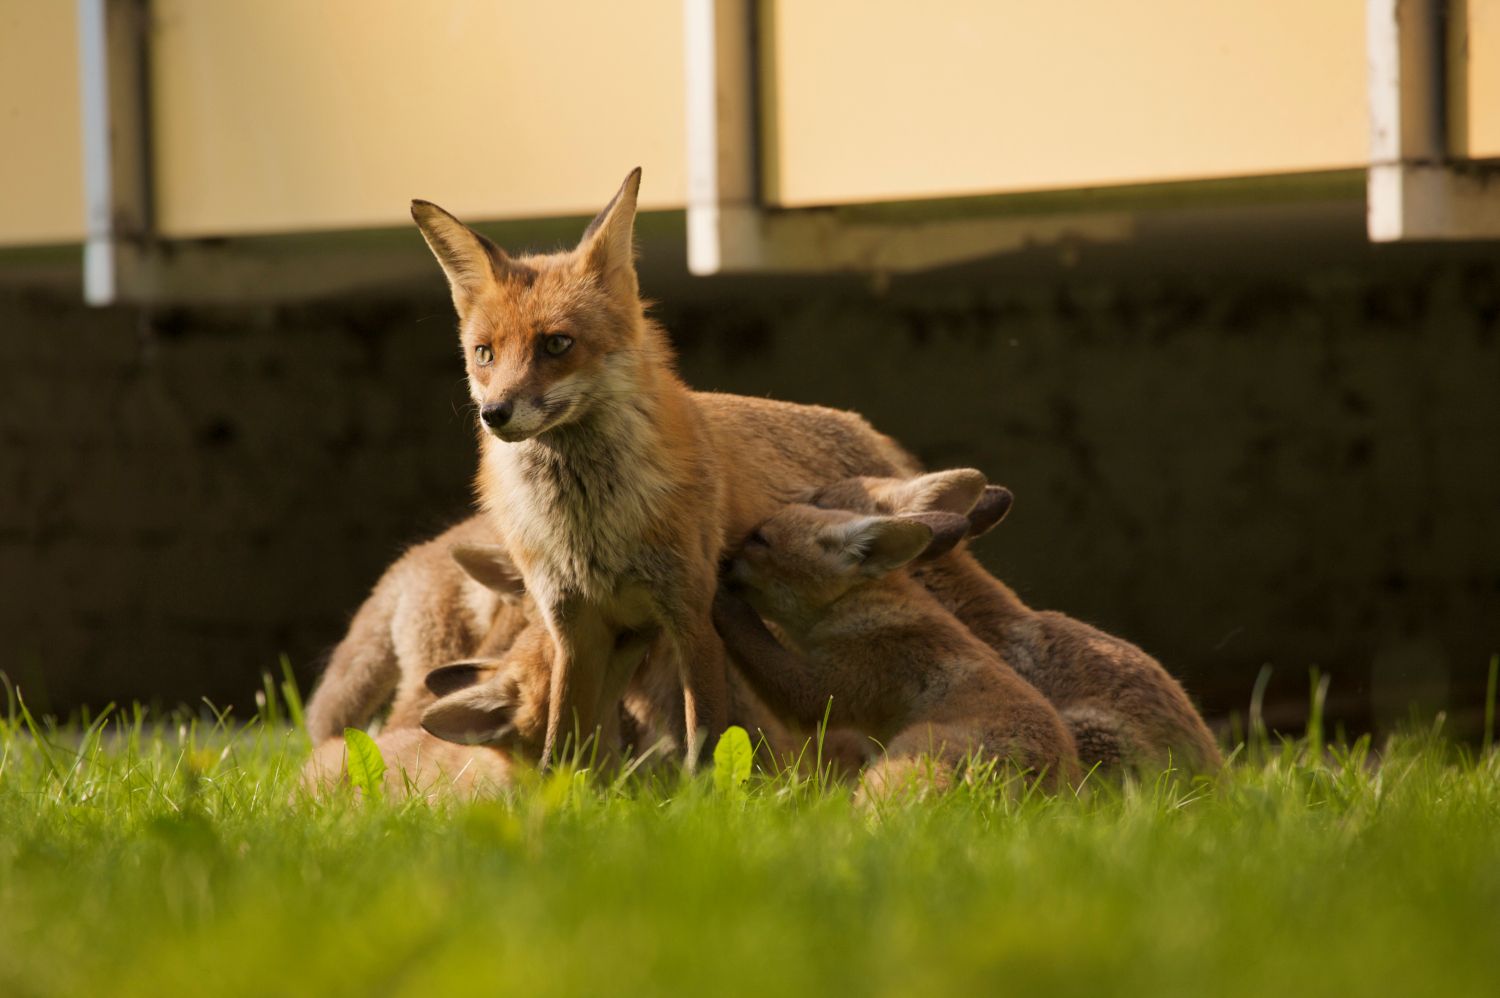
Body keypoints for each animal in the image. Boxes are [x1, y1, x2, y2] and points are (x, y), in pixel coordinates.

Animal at [405, 169, 912, 762]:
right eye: (484, 354)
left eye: (557, 344)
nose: (494, 414)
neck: (590, 524)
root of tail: (861, 423)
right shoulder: (574, 627)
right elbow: (561, 746)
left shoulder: (690, 614)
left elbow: (705, 741)